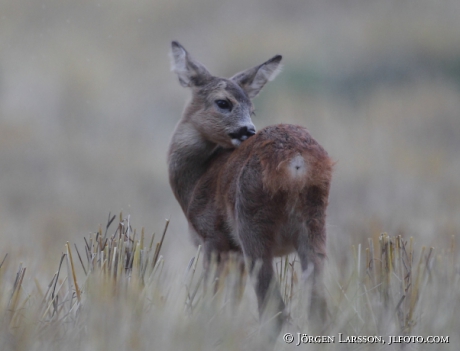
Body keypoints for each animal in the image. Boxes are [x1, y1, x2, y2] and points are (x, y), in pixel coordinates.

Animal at [167, 41, 332, 332]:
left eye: (251, 108)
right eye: (223, 102)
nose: (248, 130)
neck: (197, 177)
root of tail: (297, 162)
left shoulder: (213, 237)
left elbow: (212, 294)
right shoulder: (234, 254)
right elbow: (232, 299)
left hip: (251, 223)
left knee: (275, 307)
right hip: (314, 226)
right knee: (318, 306)